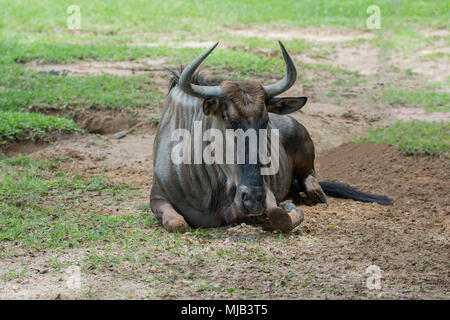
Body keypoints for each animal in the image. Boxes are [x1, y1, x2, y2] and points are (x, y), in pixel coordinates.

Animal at [150, 42, 390, 232]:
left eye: (265, 120)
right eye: (227, 119)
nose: (253, 199)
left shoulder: (269, 195)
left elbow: (280, 216)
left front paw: (290, 208)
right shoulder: (157, 198)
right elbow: (177, 224)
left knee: (311, 178)